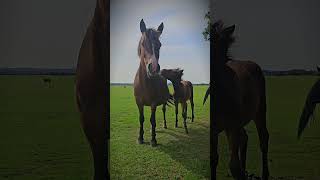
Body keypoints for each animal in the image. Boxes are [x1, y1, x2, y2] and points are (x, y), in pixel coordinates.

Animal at [134, 19, 174, 147]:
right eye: (143, 43)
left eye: (159, 45)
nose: (154, 68)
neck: (144, 84)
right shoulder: (139, 104)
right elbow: (141, 119)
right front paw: (140, 138)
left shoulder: (153, 104)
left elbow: (152, 120)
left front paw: (153, 140)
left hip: (163, 102)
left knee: (163, 110)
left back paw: (164, 125)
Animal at [208, 20, 270, 179]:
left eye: (223, 49)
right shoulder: (214, 130)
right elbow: (213, 159)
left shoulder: (232, 127)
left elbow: (234, 167)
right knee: (245, 138)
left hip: (259, 111)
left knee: (263, 138)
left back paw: (264, 174)